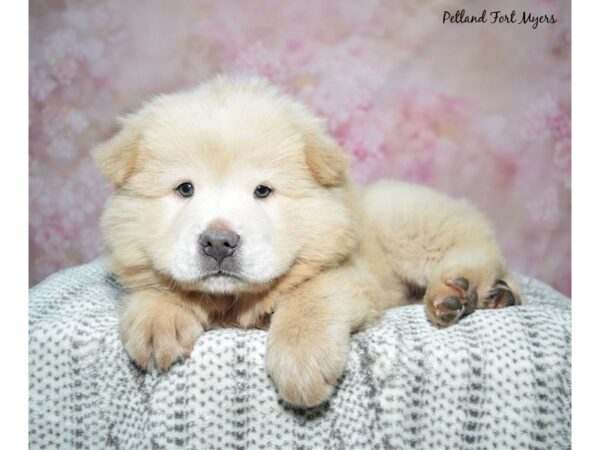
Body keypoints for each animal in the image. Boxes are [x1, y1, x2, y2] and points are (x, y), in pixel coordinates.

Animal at [94, 76, 520, 408]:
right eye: (185, 189)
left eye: (262, 191)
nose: (218, 242)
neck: (236, 302)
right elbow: (160, 282)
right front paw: (159, 320)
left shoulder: (349, 276)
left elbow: (309, 298)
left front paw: (302, 365)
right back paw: (499, 296)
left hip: (408, 222)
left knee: (477, 246)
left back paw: (456, 292)